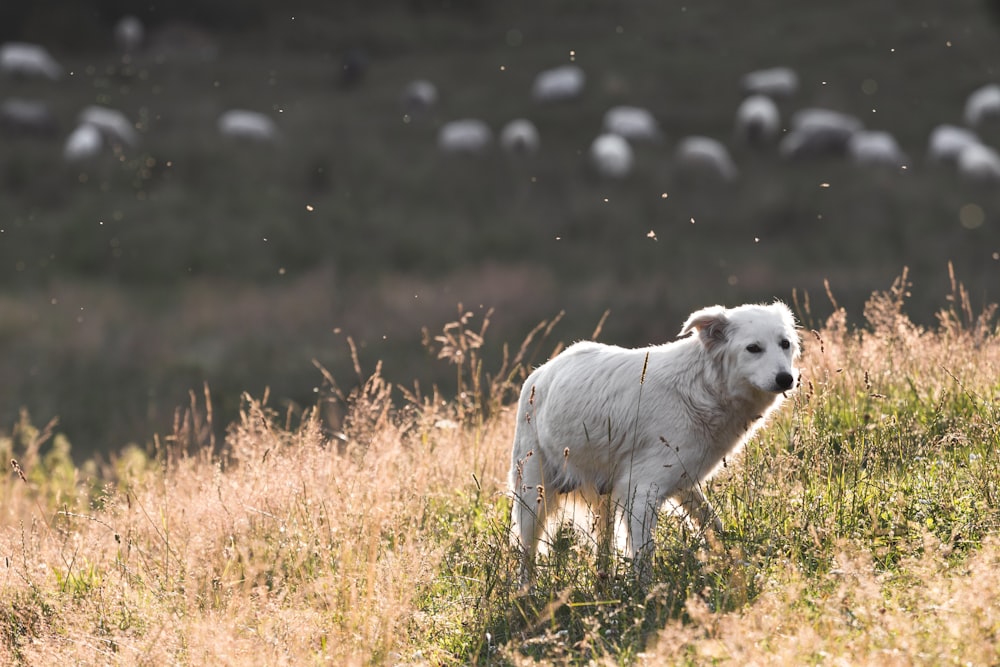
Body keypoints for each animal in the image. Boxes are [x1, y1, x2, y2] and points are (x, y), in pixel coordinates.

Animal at [508, 300, 796, 580]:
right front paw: (644, 592)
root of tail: (540, 372)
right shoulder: (641, 491)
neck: (703, 387)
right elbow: (644, 558)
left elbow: (714, 525)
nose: (787, 378)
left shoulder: (683, 483)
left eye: (785, 344)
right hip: (534, 496)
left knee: (603, 549)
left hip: (603, 500)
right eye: (753, 348)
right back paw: (527, 591)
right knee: (527, 557)